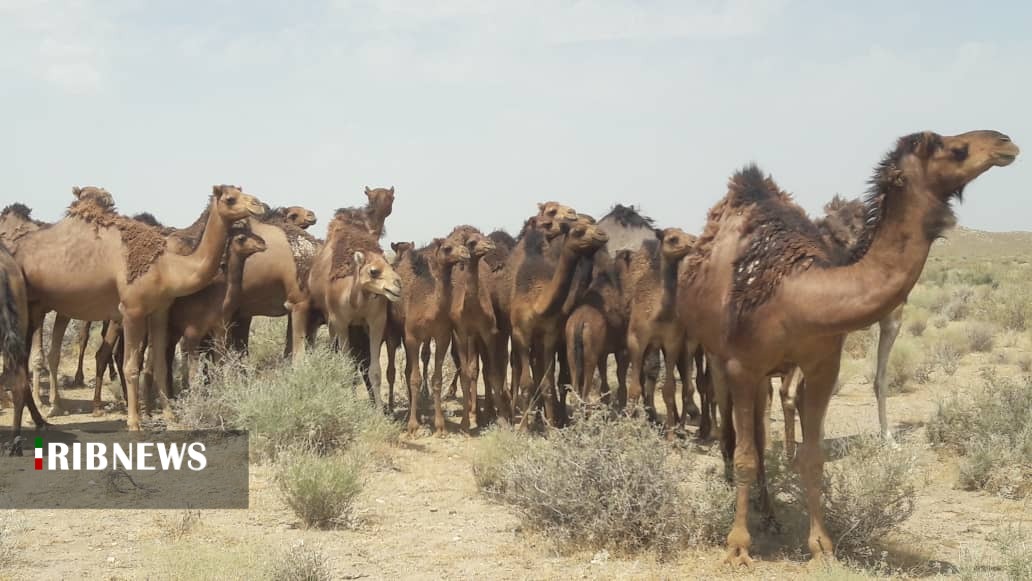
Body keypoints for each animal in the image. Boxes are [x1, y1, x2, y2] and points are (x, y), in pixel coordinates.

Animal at [15, 186, 264, 431]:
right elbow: (131, 366)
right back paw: (39, 415)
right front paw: (134, 421)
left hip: (47, 307)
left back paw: (46, 413)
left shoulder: (159, 311)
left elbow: (160, 366)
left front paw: (170, 416)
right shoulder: (131, 310)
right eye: (230, 198)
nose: (259, 205)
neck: (168, 268)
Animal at [303, 211, 400, 410]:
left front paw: (380, 410)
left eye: (391, 266)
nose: (397, 285)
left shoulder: (376, 321)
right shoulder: (340, 322)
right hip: (331, 323)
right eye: (373, 271)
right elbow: (347, 366)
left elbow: (374, 369)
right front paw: (351, 405)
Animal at [619, 230, 701, 433]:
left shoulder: (673, 342)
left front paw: (671, 433)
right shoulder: (636, 340)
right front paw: (627, 428)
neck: (658, 314)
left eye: (686, 233)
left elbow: (669, 389)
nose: (693, 241)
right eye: (673, 238)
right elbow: (634, 388)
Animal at [681, 128, 1019, 569]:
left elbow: (812, 456)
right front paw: (738, 546)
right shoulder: (742, 364)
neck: (799, 293)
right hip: (718, 357)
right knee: (730, 434)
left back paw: (769, 513)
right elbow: (745, 455)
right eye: (951, 147)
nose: (1005, 141)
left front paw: (821, 546)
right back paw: (736, 495)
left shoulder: (823, 365)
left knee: (757, 430)